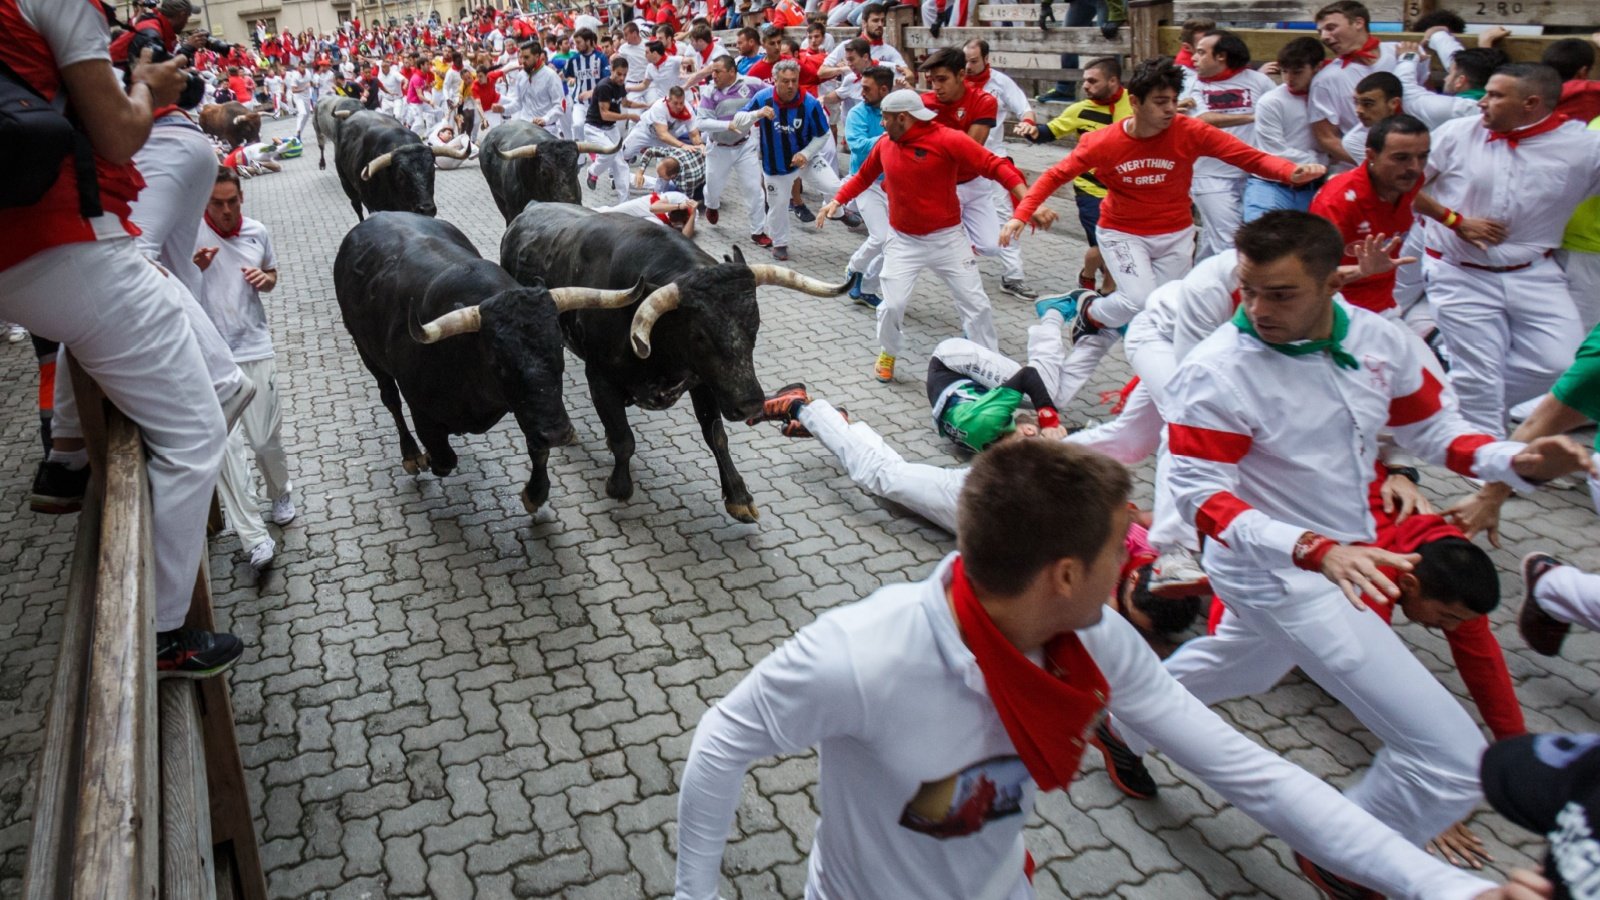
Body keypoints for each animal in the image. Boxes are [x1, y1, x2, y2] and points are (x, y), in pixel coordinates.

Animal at [331, 109, 467, 219]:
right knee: (357, 207)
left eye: (432, 171)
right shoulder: (374, 206)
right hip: (347, 185)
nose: (427, 209)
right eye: (401, 175)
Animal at [336, 211, 643, 518]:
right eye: (499, 365)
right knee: (390, 400)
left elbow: (537, 448)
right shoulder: (420, 408)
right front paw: (428, 456)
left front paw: (535, 493)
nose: (557, 433)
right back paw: (411, 454)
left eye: (559, 349)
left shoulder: (528, 407)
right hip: (366, 351)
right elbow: (444, 458)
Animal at [499, 196, 851, 518]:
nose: (750, 404)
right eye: (700, 335)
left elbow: (716, 435)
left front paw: (738, 496)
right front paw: (619, 486)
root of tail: (530, 208)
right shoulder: (600, 378)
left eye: (755, 324)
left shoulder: (704, 382)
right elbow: (624, 439)